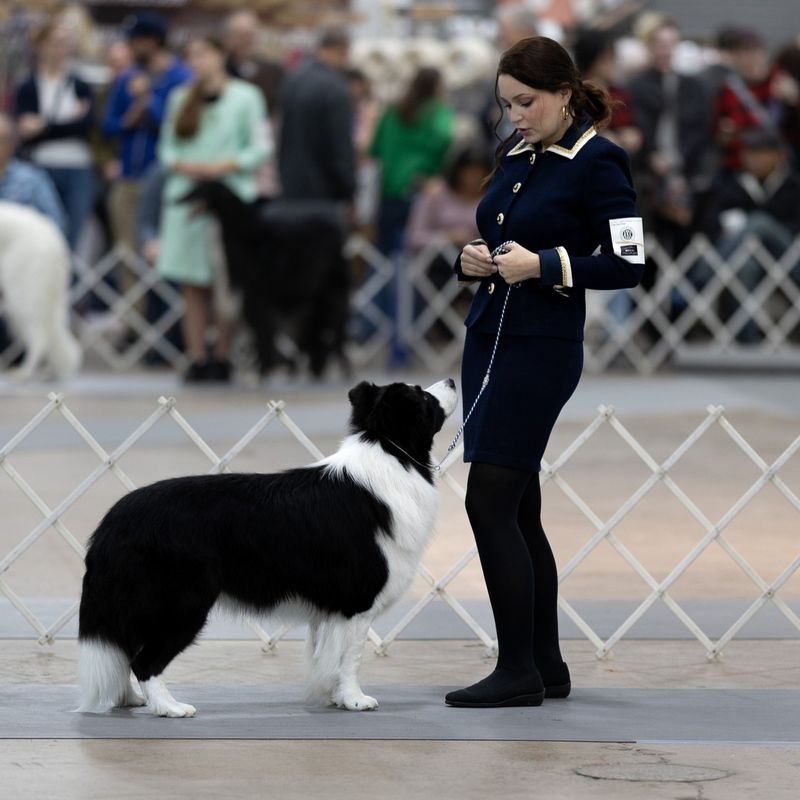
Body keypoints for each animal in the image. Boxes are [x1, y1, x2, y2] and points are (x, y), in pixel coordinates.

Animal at [79, 378, 460, 716]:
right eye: (423, 396)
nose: (453, 380)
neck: (391, 452)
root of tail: (112, 523)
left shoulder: (331, 607)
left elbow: (327, 657)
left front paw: (336, 696)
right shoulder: (357, 602)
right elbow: (351, 657)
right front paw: (355, 700)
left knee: (124, 651)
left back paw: (128, 699)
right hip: (182, 603)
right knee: (145, 661)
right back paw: (169, 707)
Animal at [184, 184, 354, 378]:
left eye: (200, 190)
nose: (176, 200)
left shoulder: (257, 300)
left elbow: (263, 337)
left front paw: (262, 371)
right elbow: (262, 337)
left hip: (334, 295)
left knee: (336, 332)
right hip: (316, 299)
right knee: (318, 335)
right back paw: (315, 369)